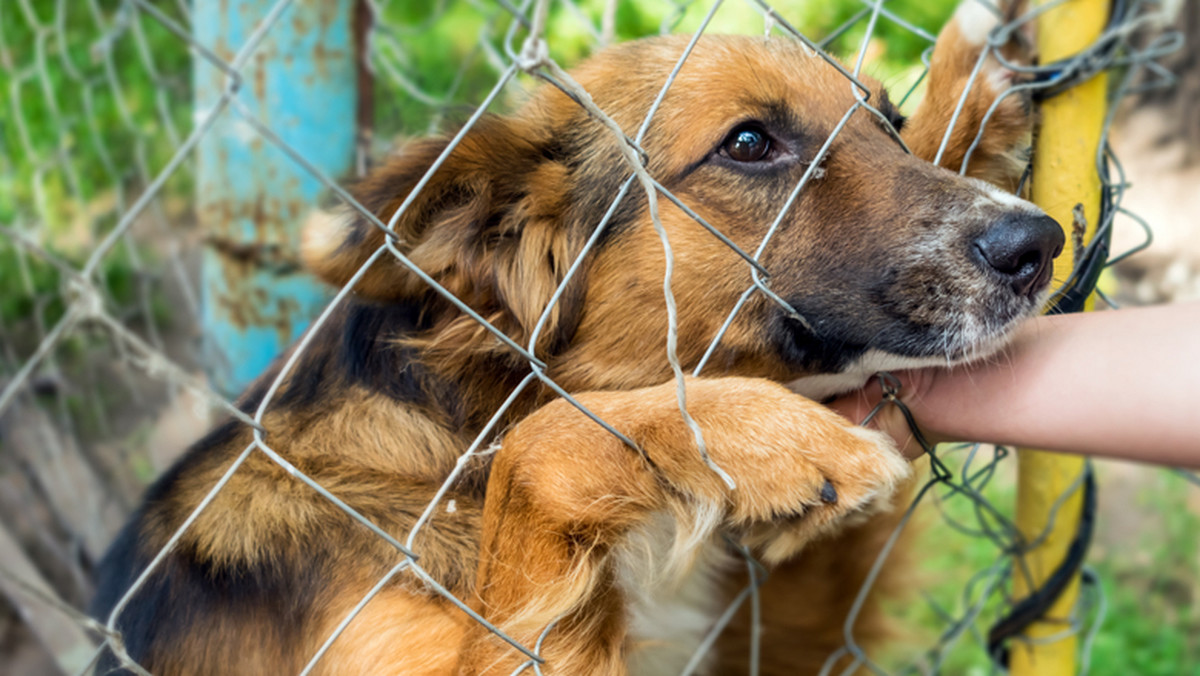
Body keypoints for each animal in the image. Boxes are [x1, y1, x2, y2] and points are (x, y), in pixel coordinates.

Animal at [98, 2, 1065, 672]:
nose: (1040, 245)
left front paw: (973, 78)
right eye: (750, 142)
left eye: (888, 125)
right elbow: (544, 444)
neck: (462, 425)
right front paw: (758, 439)